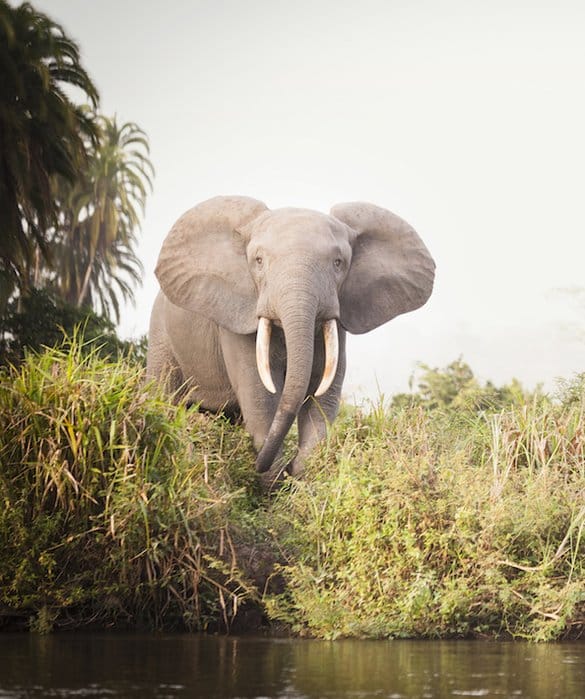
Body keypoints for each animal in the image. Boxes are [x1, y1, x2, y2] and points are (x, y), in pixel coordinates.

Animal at [147, 198, 434, 476]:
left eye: (338, 263)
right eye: (258, 261)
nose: (282, 468)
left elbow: (323, 397)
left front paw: (300, 476)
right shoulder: (239, 322)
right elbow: (260, 398)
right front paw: (277, 480)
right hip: (160, 334)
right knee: (163, 395)